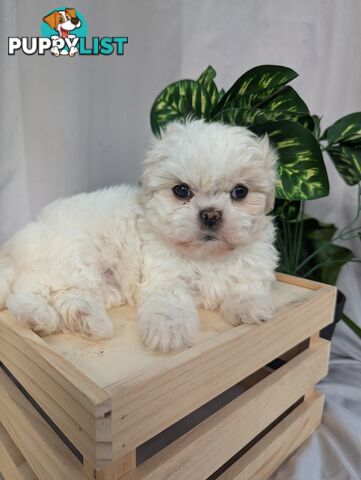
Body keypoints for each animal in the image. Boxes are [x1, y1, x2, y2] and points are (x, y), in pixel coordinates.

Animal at [0, 120, 278, 352]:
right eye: (181, 191)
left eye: (240, 192)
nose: (210, 215)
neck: (208, 256)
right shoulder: (164, 277)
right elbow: (169, 304)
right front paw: (168, 332)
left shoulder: (252, 266)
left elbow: (246, 285)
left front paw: (250, 306)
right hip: (68, 259)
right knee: (25, 291)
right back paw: (38, 316)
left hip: (98, 281)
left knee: (69, 294)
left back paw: (88, 319)